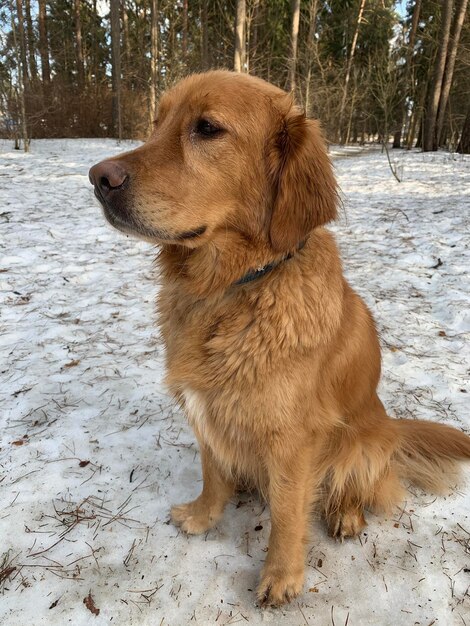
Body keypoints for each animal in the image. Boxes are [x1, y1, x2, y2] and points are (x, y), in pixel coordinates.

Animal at [89, 72, 470, 604]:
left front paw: (281, 575)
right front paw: (204, 515)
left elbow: (289, 512)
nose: (98, 178)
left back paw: (346, 514)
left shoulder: (292, 439)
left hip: (363, 443)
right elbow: (212, 470)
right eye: (157, 122)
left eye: (207, 128)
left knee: (363, 485)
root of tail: (393, 427)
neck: (230, 288)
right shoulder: (206, 409)